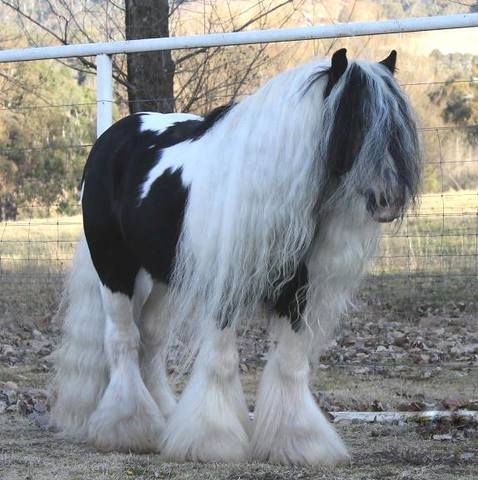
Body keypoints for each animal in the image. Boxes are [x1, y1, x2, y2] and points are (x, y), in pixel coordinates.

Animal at [50, 48, 420, 464]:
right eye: (354, 121)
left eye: (397, 126)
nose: (388, 200)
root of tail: (111, 139)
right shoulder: (224, 286)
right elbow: (221, 359)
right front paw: (212, 440)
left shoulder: (299, 289)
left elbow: (290, 362)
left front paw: (299, 441)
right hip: (114, 268)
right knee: (122, 339)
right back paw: (128, 427)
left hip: (164, 278)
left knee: (152, 340)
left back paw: (161, 419)